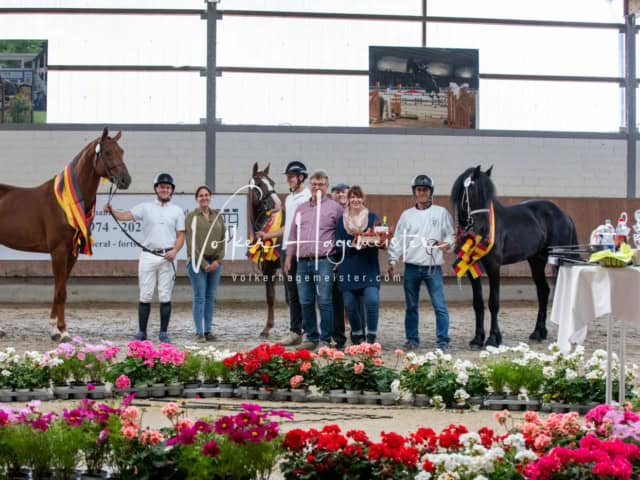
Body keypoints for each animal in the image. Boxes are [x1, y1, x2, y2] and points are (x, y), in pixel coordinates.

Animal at [0, 127, 131, 342]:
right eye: (107, 153)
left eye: (122, 151)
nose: (125, 180)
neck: (66, 202)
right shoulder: (59, 251)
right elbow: (60, 291)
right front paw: (62, 332)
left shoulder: (72, 253)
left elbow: (60, 289)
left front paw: (55, 329)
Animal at [450, 167, 580, 346]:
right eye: (473, 193)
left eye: (488, 197)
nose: (483, 229)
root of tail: (564, 215)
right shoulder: (471, 268)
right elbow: (478, 303)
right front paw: (477, 339)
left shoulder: (494, 266)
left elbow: (493, 302)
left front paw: (493, 338)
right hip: (536, 261)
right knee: (543, 291)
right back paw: (538, 332)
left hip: (561, 260)